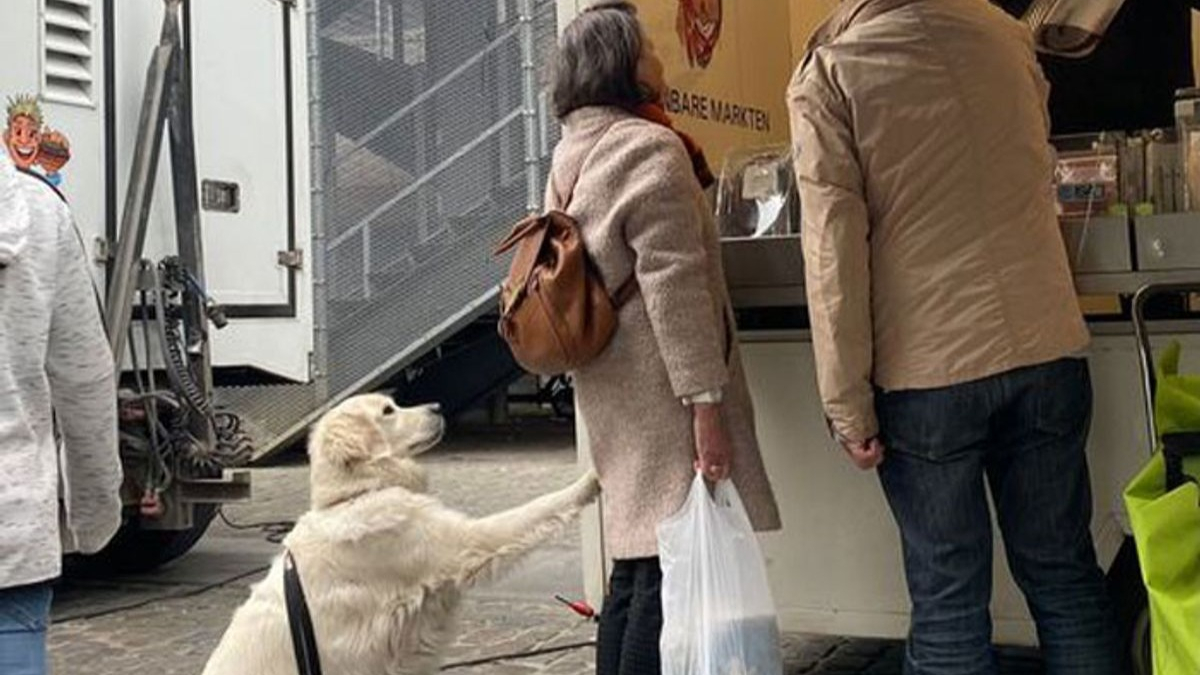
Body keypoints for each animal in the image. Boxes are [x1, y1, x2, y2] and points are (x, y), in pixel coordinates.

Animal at [202, 391, 609, 672]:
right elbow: (536, 509)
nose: (438, 407)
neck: (356, 495)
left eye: (394, 403)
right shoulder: (463, 544)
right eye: (387, 411)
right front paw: (588, 481)